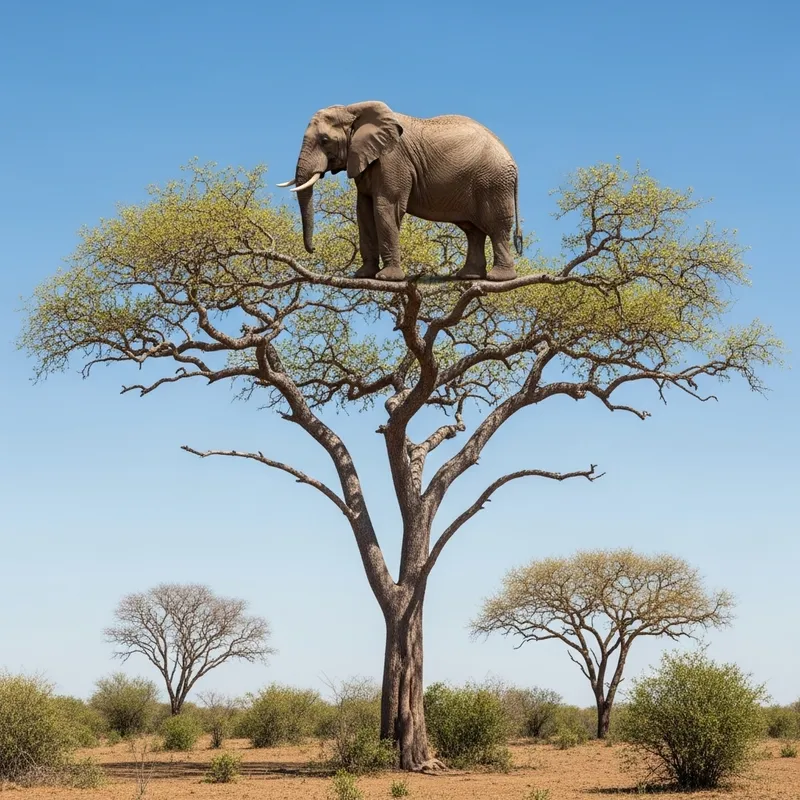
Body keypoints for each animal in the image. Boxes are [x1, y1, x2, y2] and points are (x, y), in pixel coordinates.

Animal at [277, 100, 524, 282]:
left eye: (325, 140)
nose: (313, 249)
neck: (354, 110)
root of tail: (511, 156)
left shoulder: (393, 160)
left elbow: (386, 207)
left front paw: (388, 278)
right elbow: (363, 211)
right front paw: (363, 275)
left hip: (493, 182)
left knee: (496, 226)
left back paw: (499, 278)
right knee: (473, 230)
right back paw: (467, 276)